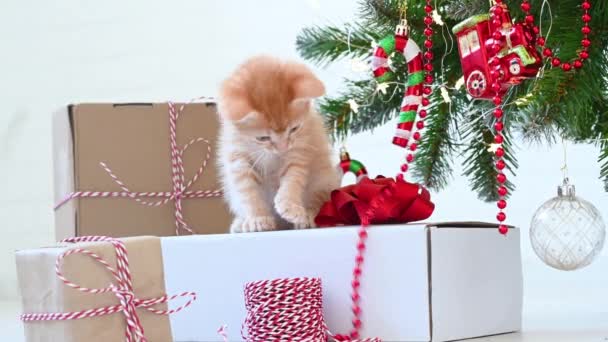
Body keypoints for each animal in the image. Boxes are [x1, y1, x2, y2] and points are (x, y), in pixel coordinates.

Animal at [218, 56, 342, 232]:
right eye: (263, 138)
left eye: (294, 129)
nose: (283, 148)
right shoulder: (237, 156)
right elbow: (248, 190)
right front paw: (258, 218)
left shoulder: (300, 149)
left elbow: (293, 178)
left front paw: (289, 205)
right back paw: (241, 223)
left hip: (324, 179)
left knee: (320, 197)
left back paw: (309, 215)